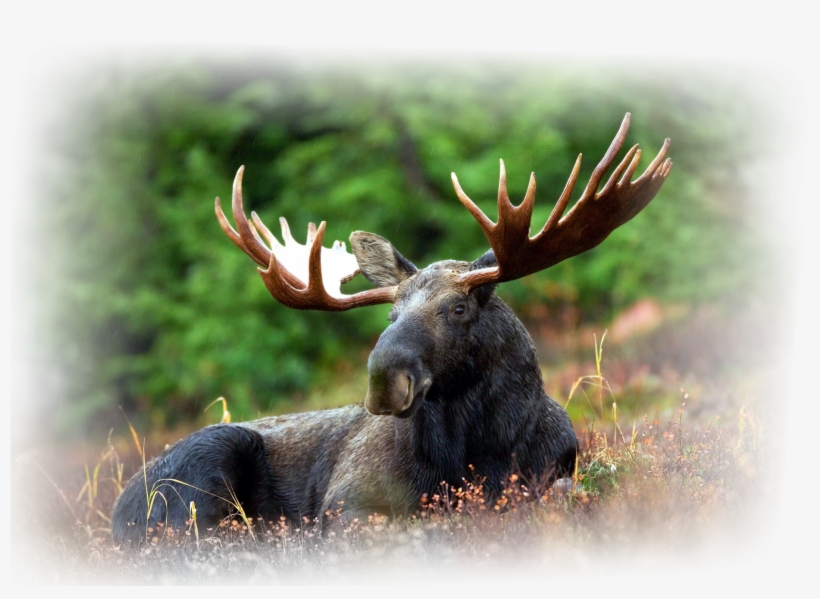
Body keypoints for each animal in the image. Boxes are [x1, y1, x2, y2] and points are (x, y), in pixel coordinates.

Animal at [111, 113, 671, 544]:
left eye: (458, 308)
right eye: (391, 314)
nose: (384, 379)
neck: (479, 452)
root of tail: (116, 512)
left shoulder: (554, 474)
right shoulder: (346, 503)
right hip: (206, 463)